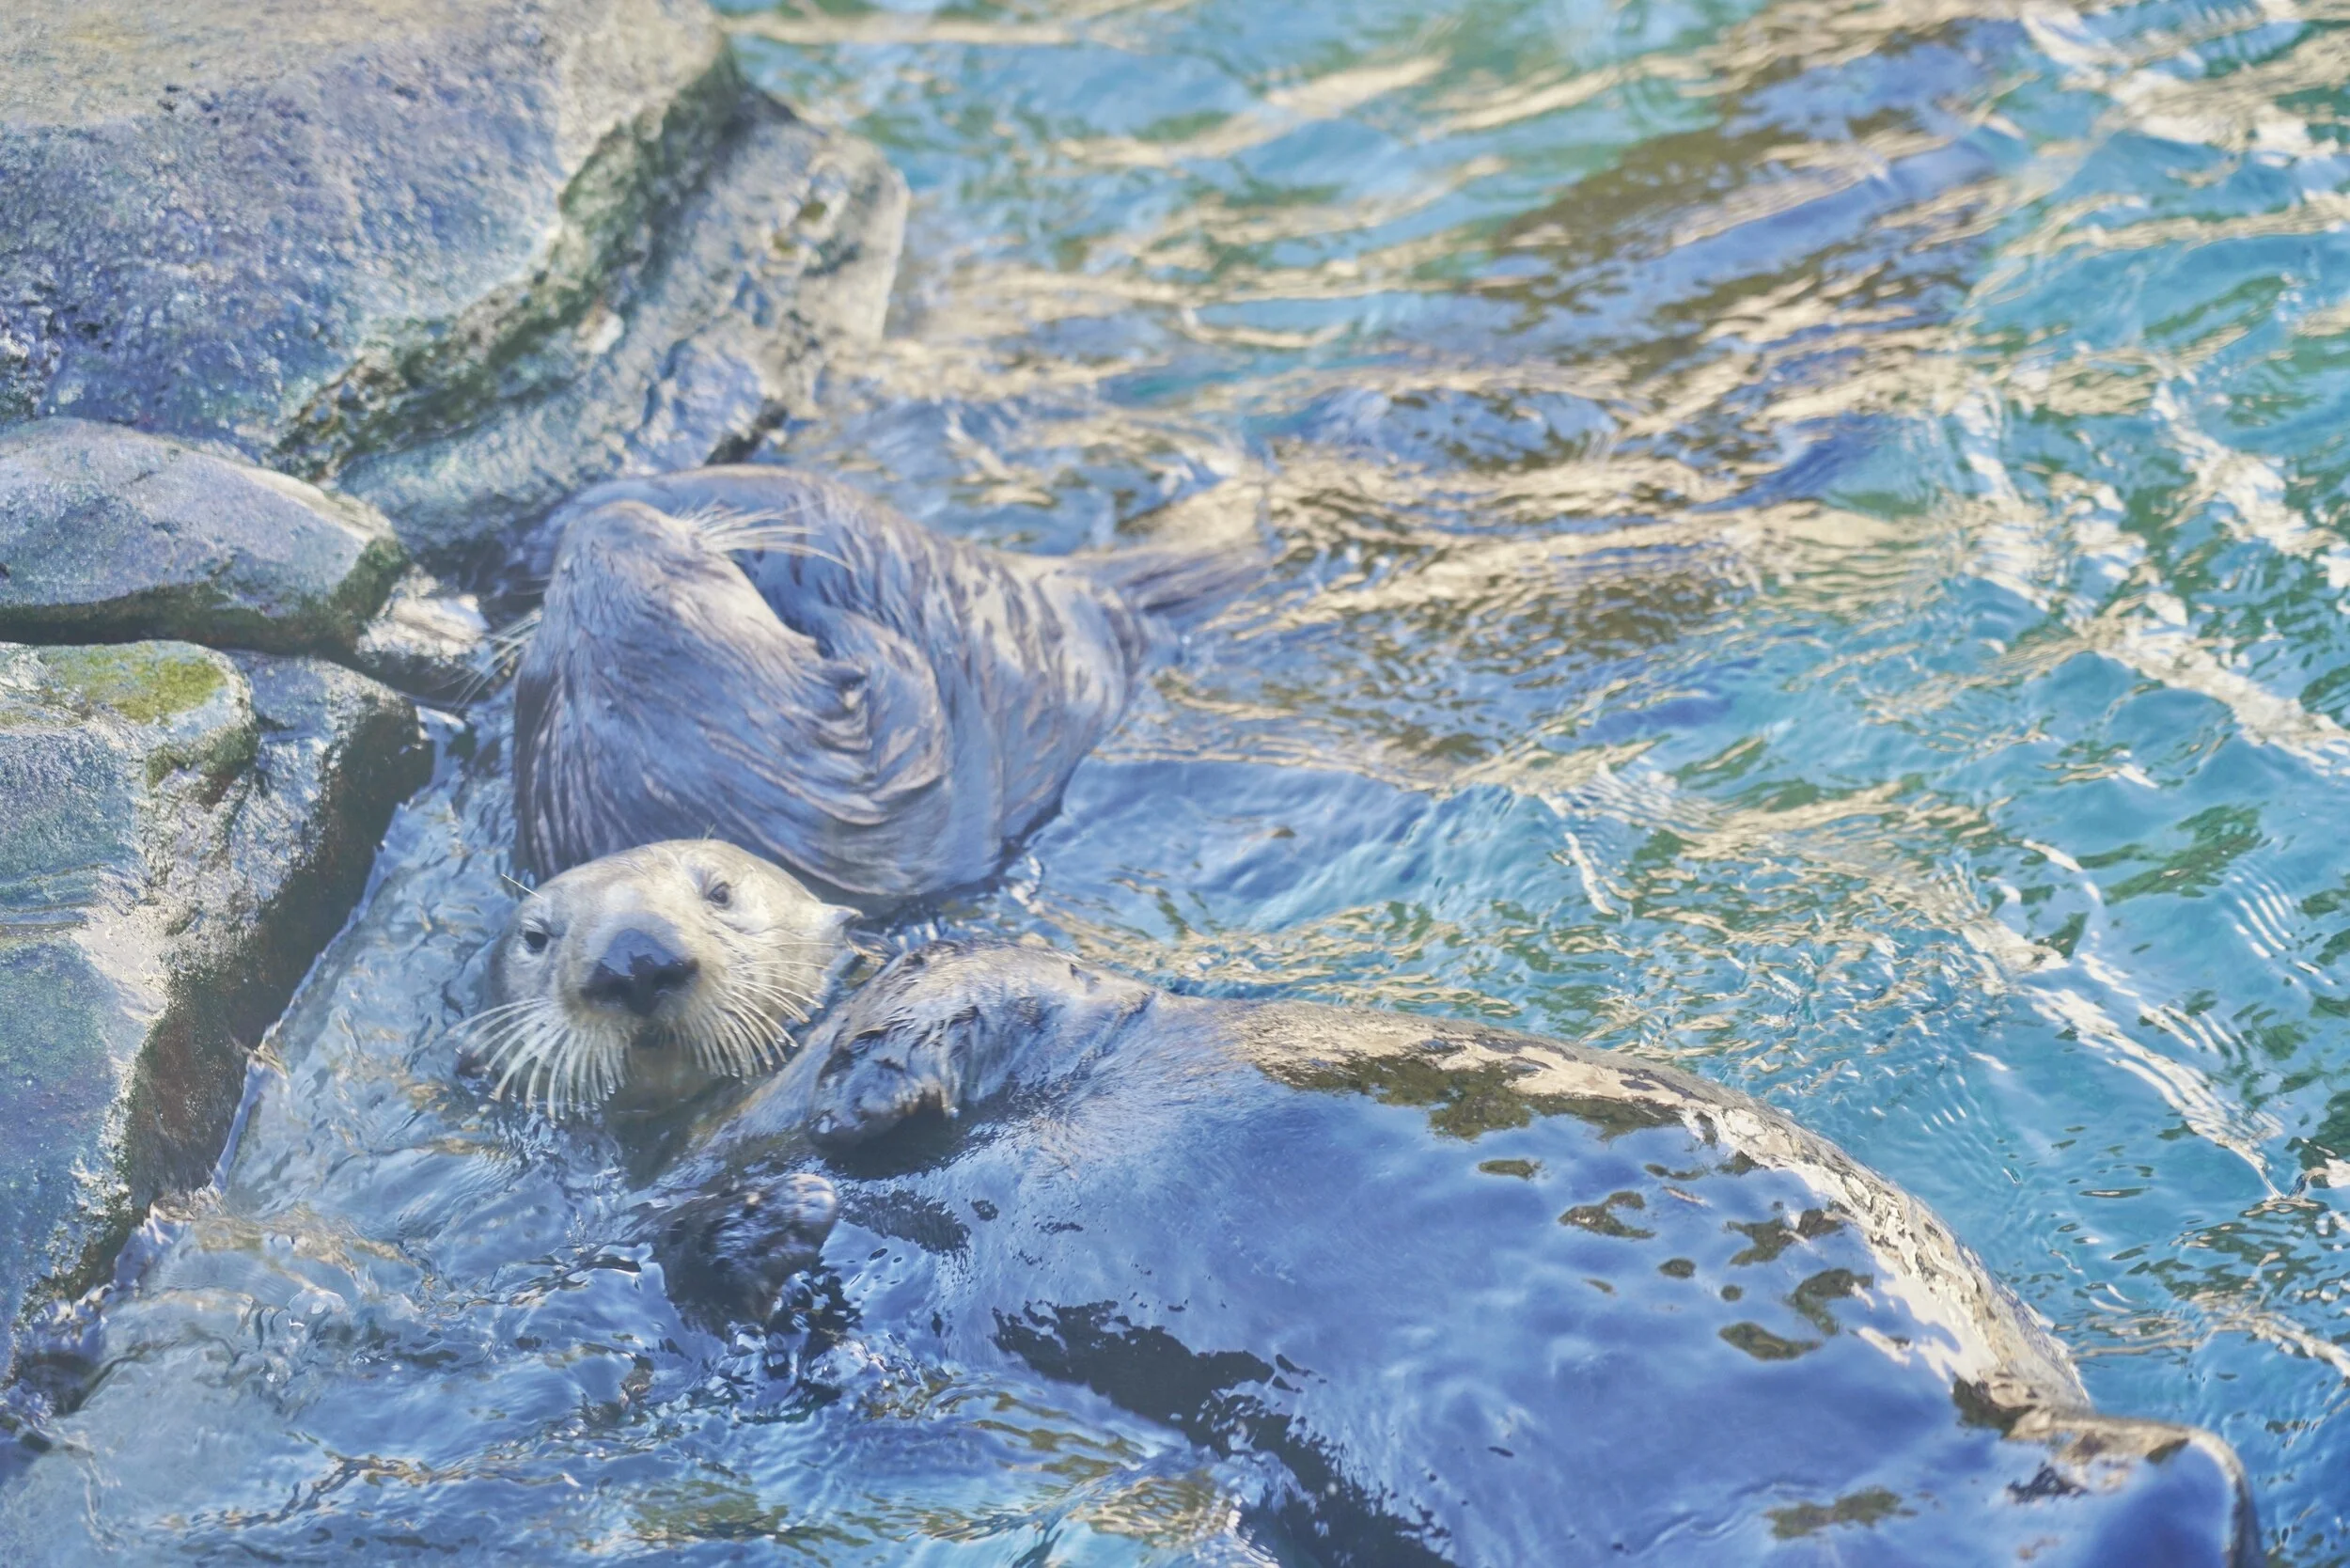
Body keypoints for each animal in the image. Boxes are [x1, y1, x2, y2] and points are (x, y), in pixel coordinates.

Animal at [474, 847, 2258, 1567]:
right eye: (542, 929)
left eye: (714, 884)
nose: (634, 958)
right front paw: (801, 1205)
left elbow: (979, 997)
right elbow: (739, 1269)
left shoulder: (1030, 984)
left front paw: (880, 1076)